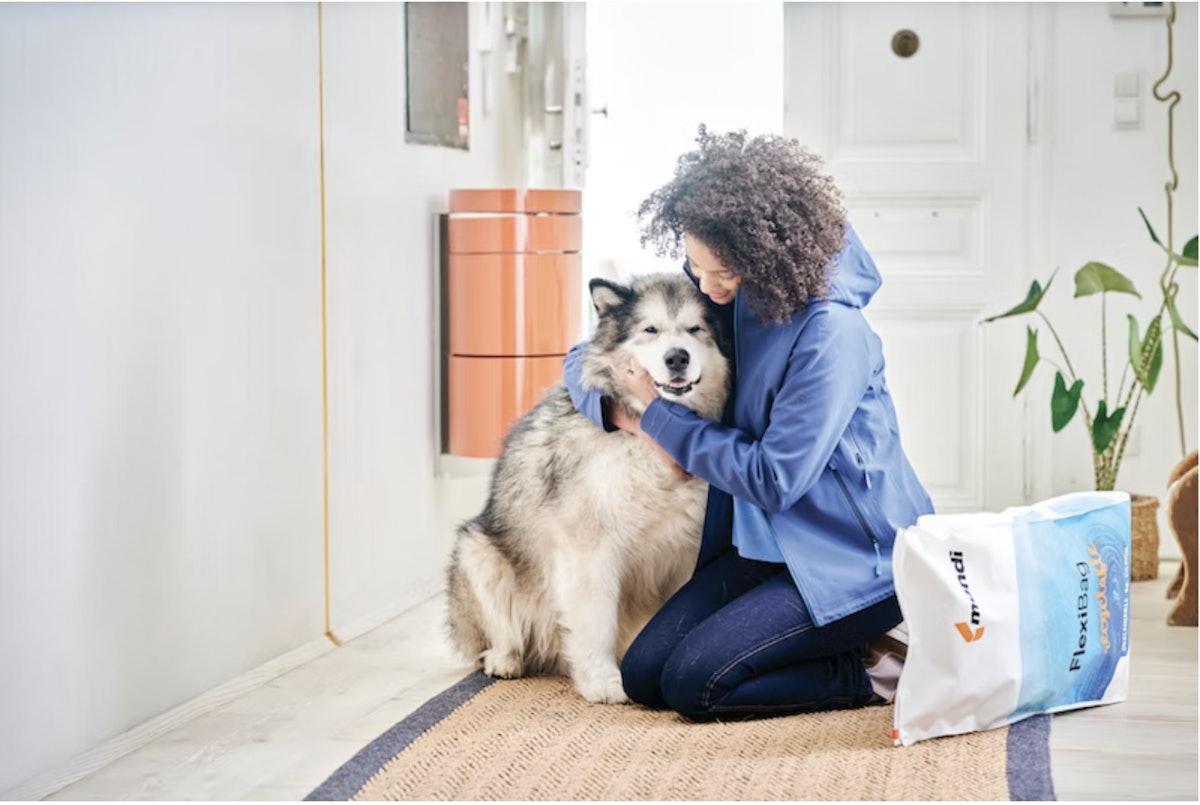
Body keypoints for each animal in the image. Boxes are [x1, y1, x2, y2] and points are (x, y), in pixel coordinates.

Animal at [446, 273, 729, 700]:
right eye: (650, 329)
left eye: (696, 329)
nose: (677, 358)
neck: (651, 433)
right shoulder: (589, 549)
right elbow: (595, 620)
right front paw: (602, 681)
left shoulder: (686, 550)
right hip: (478, 551)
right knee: (505, 633)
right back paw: (505, 659)